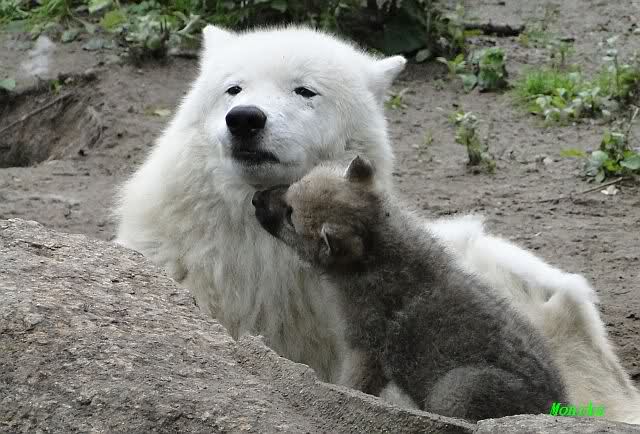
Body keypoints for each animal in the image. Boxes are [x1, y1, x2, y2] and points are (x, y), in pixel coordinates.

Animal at [252, 155, 567, 421]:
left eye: (291, 215)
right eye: (293, 186)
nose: (255, 199)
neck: (381, 253)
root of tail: (558, 404)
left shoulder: (366, 352)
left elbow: (352, 386)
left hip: (454, 389)